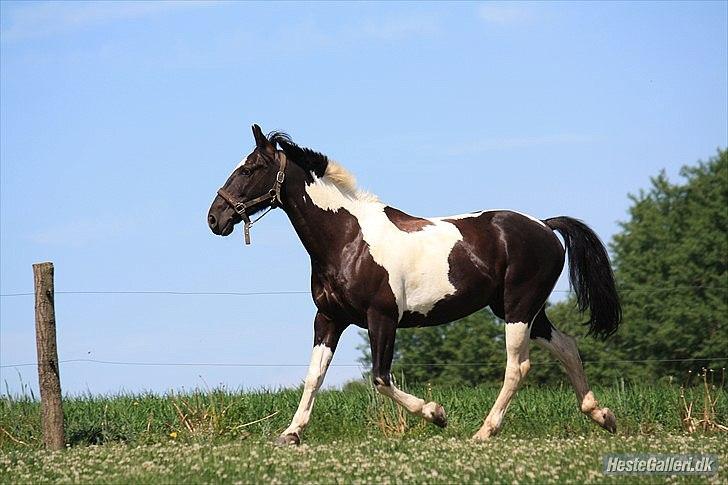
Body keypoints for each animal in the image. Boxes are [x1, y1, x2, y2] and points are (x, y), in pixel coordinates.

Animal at [205, 124, 620, 442]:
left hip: (519, 307)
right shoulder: (329, 319)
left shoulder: (382, 318)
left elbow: (380, 378)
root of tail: (546, 226)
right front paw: (291, 433)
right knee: (567, 346)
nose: (215, 218)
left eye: (249, 169)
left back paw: (484, 432)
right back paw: (602, 416)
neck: (348, 239)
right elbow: (313, 376)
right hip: (519, 309)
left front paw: (436, 413)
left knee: (517, 367)